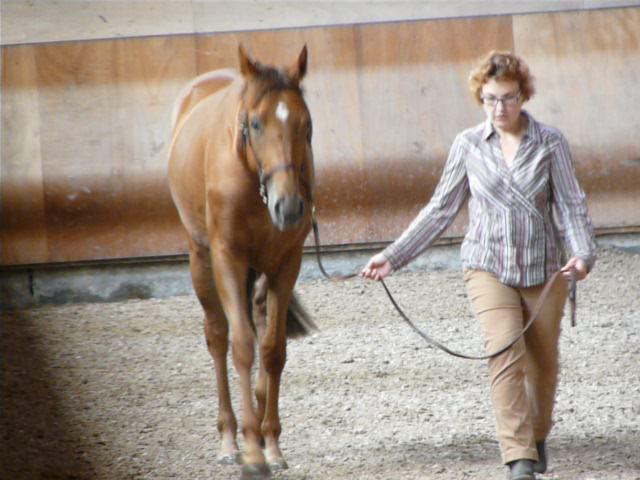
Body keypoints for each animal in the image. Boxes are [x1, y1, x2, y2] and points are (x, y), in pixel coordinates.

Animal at [165, 44, 316, 476]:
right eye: (256, 124)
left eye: (305, 123)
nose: (289, 207)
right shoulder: (227, 259)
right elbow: (243, 346)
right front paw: (251, 450)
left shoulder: (286, 263)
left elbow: (273, 350)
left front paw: (272, 444)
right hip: (201, 260)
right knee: (217, 337)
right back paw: (229, 439)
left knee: (259, 319)